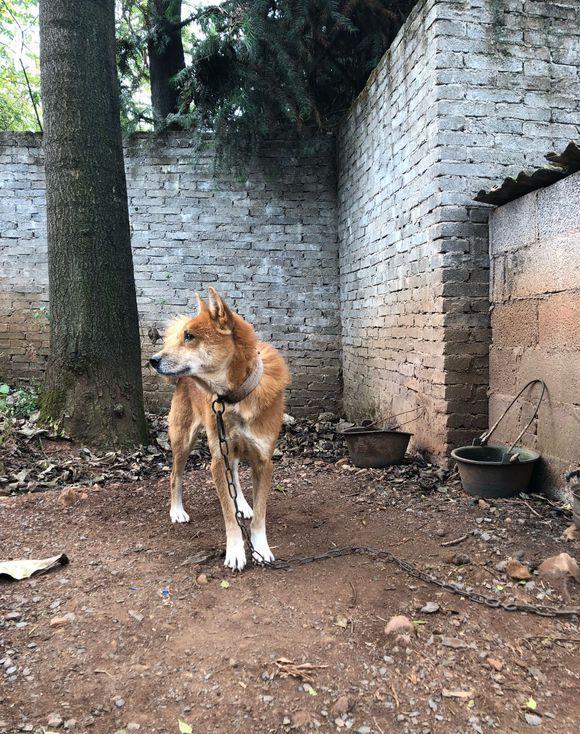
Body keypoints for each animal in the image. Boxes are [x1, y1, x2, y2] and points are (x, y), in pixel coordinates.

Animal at [150, 290, 290, 572]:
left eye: (189, 336)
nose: (153, 360)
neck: (236, 397)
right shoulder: (216, 460)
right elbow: (228, 514)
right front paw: (236, 551)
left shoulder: (263, 461)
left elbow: (259, 513)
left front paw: (260, 548)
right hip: (184, 440)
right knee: (174, 476)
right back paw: (177, 511)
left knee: (234, 473)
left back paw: (243, 504)